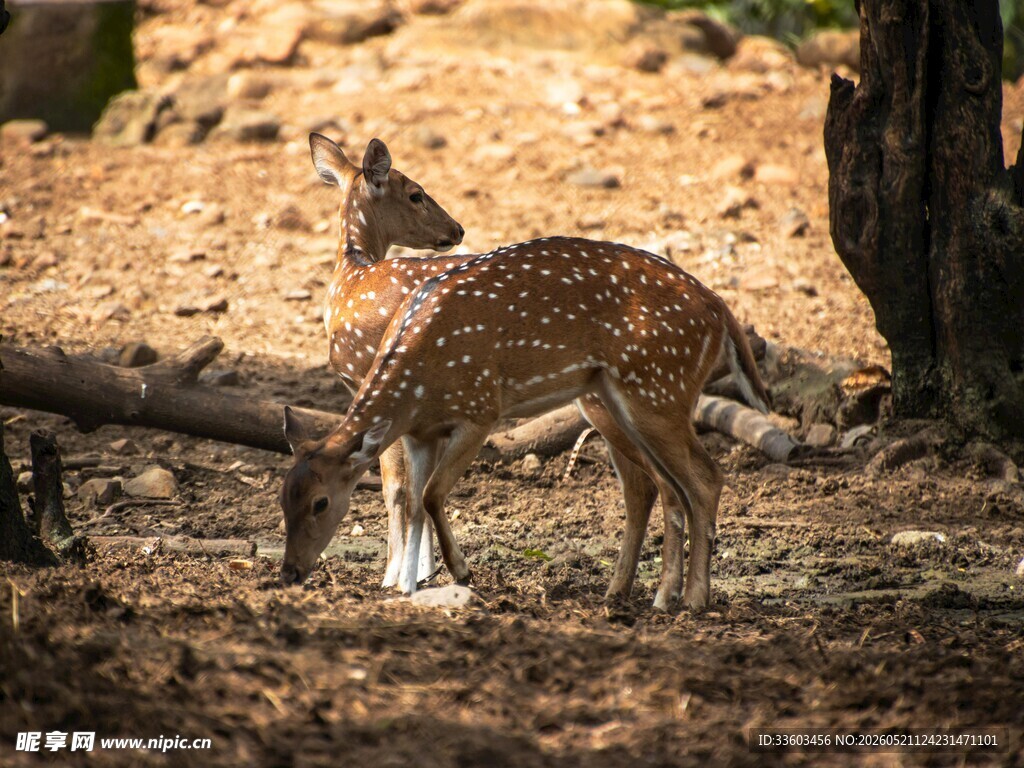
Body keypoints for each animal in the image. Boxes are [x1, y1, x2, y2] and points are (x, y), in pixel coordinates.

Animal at [283, 143, 771, 609]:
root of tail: (719, 307)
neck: (352, 276)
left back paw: (686, 598)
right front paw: (413, 581)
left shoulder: (410, 394)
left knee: (693, 480)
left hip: (645, 393)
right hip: (619, 400)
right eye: (282, 498)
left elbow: (402, 491)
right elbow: (414, 495)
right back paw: (630, 592)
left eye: (320, 502)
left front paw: (413, 577)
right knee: (652, 485)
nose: (457, 229)